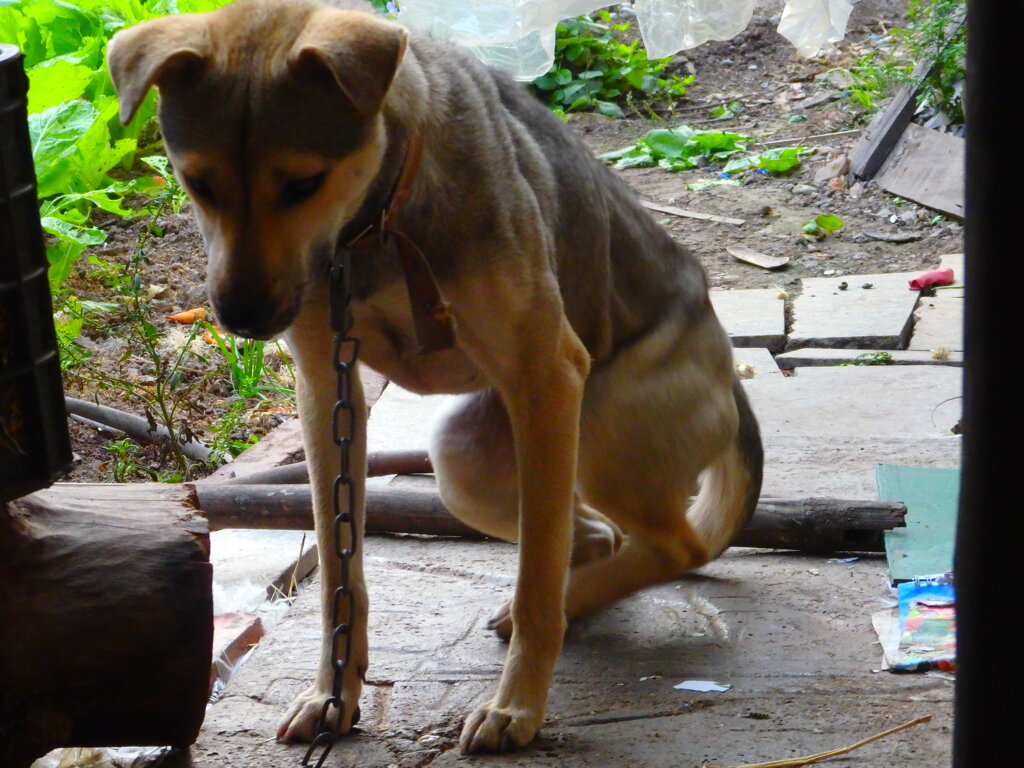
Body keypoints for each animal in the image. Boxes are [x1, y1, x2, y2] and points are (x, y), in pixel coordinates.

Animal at [105, 0, 761, 757]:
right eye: (198, 183)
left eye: (303, 183)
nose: (241, 320)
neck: (378, 219)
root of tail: (731, 380)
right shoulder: (327, 392)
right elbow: (339, 576)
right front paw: (333, 695)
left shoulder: (549, 371)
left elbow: (537, 586)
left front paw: (515, 707)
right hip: (469, 459)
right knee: (594, 536)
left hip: (593, 429)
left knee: (667, 545)